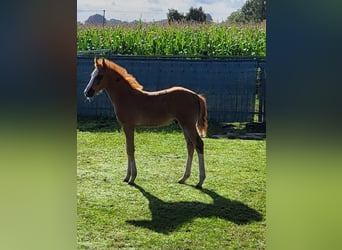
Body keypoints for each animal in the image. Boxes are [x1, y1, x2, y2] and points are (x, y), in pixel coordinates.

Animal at [85, 58, 208, 188]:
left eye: (99, 76)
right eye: (92, 75)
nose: (87, 92)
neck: (126, 96)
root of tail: (196, 96)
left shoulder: (129, 126)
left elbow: (130, 149)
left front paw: (132, 178)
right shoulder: (126, 127)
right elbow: (128, 149)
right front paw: (127, 176)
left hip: (188, 124)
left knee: (199, 144)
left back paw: (200, 181)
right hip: (183, 125)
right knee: (190, 146)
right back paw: (184, 178)